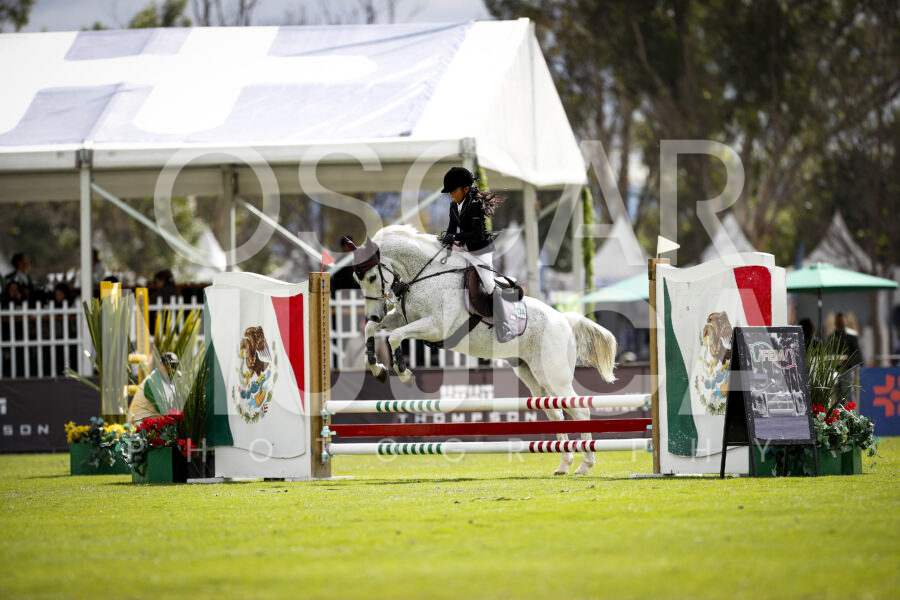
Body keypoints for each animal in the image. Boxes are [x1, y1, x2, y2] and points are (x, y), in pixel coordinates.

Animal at [347, 225, 618, 476]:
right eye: (357, 279)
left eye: (371, 277)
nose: (374, 312)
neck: (425, 275)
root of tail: (565, 319)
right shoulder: (403, 319)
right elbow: (373, 329)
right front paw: (378, 368)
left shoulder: (435, 327)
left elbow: (394, 337)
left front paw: (404, 373)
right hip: (532, 374)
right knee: (556, 413)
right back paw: (564, 465)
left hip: (553, 376)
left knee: (580, 409)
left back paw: (585, 465)